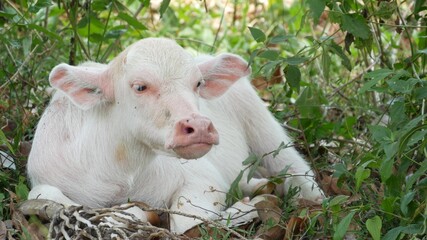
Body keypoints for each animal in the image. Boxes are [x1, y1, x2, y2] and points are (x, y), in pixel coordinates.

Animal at [27, 38, 324, 233]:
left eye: (198, 83)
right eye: (140, 86)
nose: (200, 126)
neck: (122, 172)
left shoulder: (202, 177)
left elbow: (185, 221)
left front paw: (246, 208)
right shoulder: (45, 179)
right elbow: (44, 194)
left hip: (262, 124)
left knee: (294, 167)